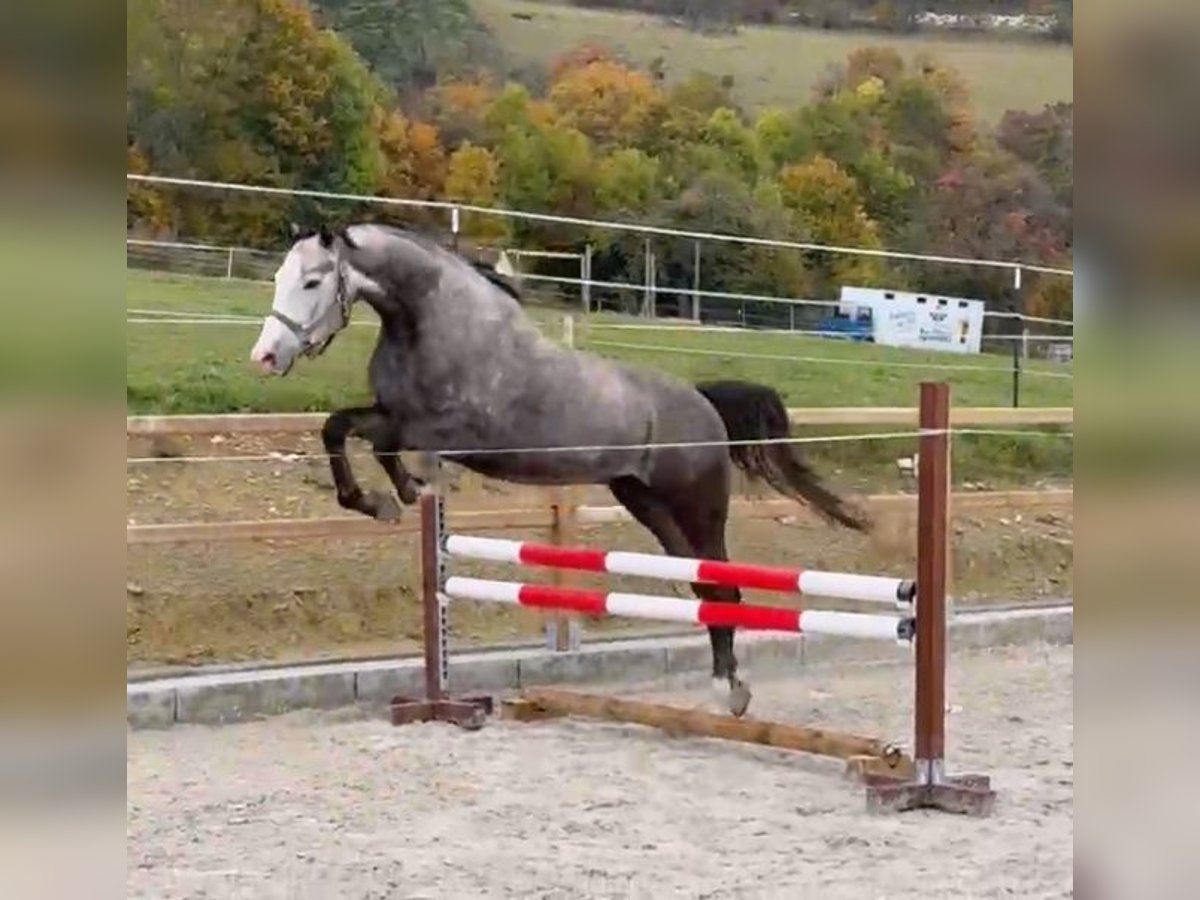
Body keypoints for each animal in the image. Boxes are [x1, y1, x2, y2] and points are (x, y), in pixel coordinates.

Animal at [249, 223, 872, 717]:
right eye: (280, 276)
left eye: (312, 282)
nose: (266, 358)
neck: (433, 321)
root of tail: (702, 402)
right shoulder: (392, 416)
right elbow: (338, 428)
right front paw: (383, 500)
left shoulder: (447, 433)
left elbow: (380, 444)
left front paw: (400, 491)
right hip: (644, 501)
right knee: (701, 582)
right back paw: (726, 683)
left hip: (698, 505)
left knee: (723, 584)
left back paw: (732, 690)